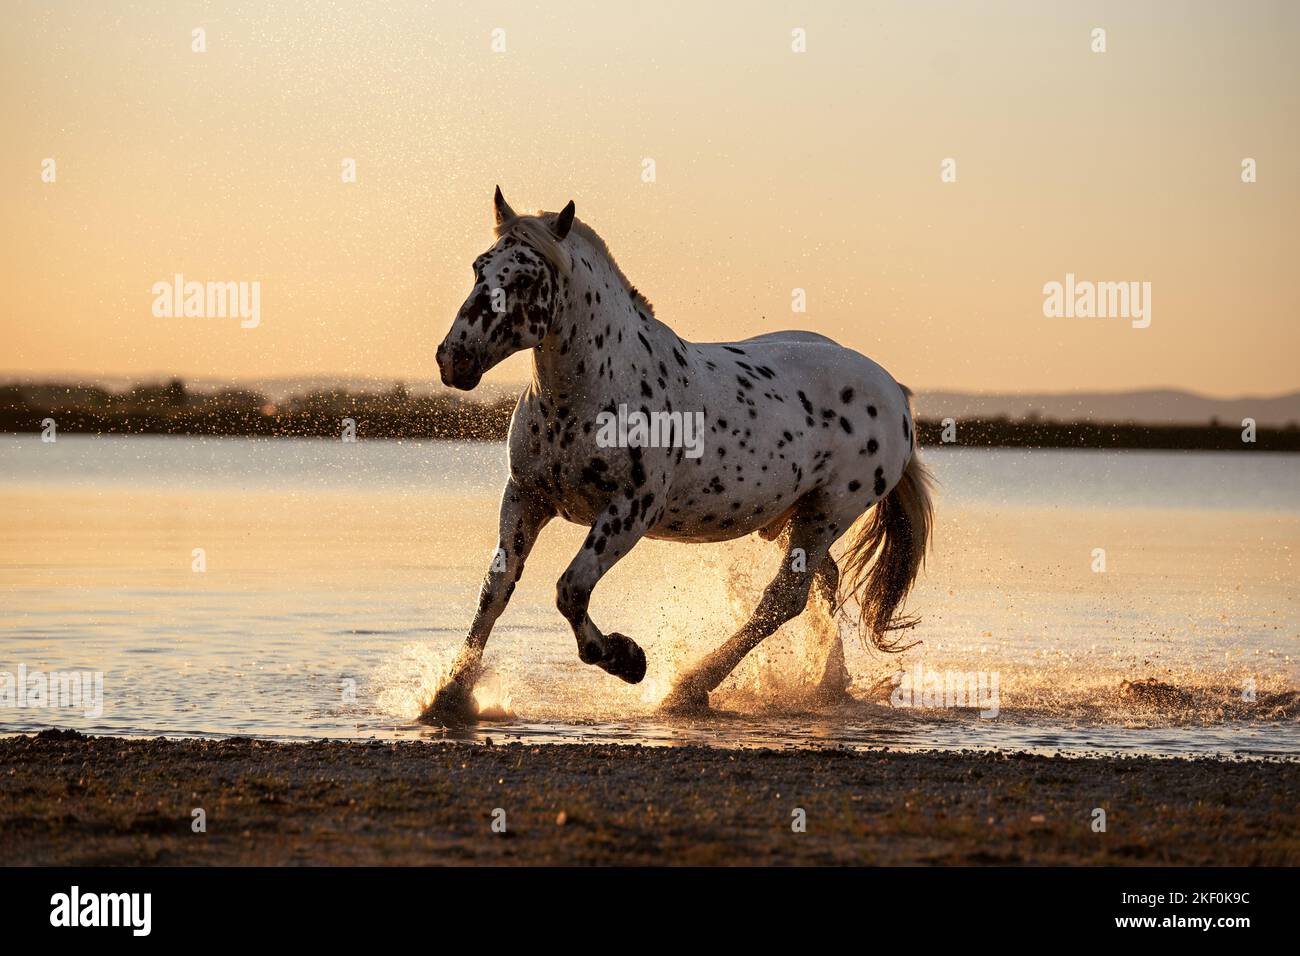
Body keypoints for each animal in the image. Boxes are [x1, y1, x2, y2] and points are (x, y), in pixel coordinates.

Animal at [427, 187, 933, 720]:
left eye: (524, 279)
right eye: (479, 268)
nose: (453, 358)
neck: (587, 394)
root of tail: (894, 391)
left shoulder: (629, 511)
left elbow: (571, 590)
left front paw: (627, 659)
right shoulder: (526, 497)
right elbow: (495, 591)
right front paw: (449, 694)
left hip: (828, 511)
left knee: (783, 600)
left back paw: (690, 687)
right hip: (789, 518)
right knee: (823, 585)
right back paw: (825, 687)